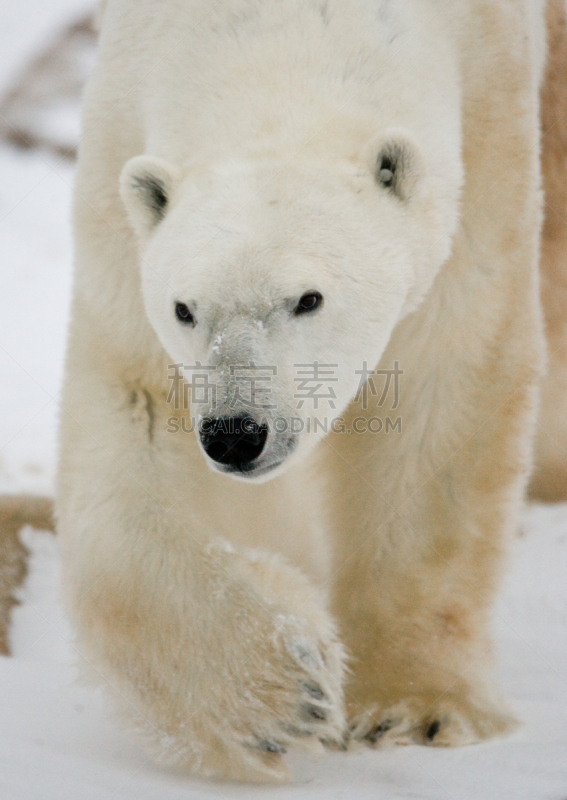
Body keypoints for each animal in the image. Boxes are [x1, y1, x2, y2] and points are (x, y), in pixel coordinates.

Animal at [53, 0, 552, 780]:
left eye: (308, 299)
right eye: (184, 309)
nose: (235, 433)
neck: (277, 27)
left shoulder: (488, 109)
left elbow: (440, 391)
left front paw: (413, 706)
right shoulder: (119, 146)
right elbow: (134, 405)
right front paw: (278, 696)